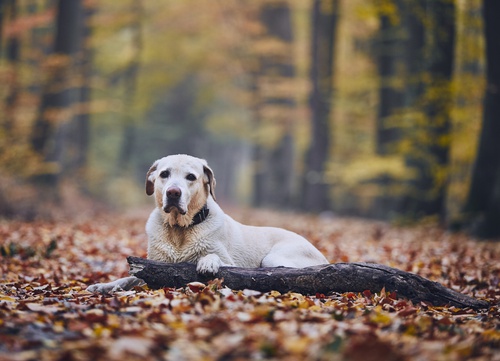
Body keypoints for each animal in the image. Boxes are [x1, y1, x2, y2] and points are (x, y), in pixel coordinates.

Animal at [86, 153, 328, 292]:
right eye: (164, 174)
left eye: (191, 177)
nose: (173, 193)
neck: (180, 230)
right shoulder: (152, 265)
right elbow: (128, 278)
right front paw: (102, 286)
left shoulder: (231, 261)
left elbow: (213, 257)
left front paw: (208, 262)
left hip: (274, 259)